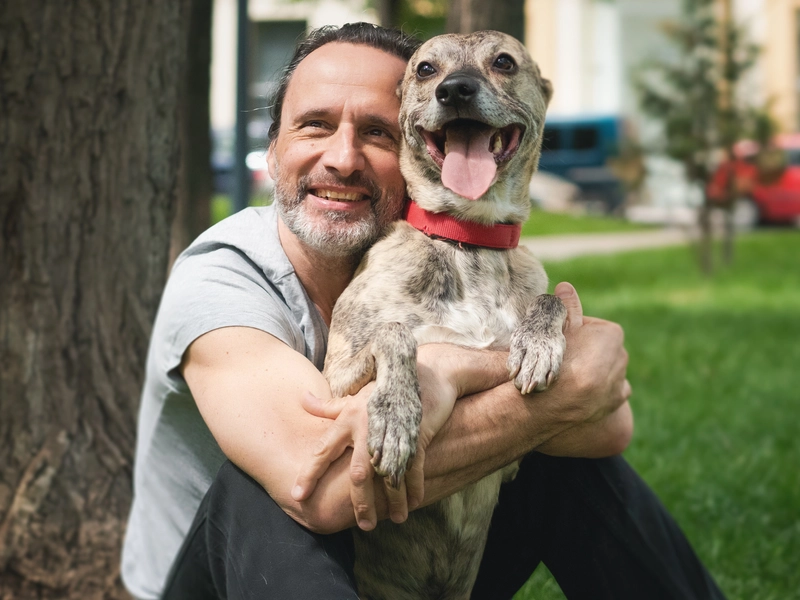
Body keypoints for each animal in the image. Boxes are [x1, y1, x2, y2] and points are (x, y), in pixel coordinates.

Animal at [322, 30, 564, 596]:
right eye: (426, 68)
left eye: (504, 62)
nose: (454, 91)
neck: (468, 239)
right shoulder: (331, 381)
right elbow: (394, 333)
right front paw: (395, 415)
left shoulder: (516, 462)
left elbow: (552, 297)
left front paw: (538, 343)